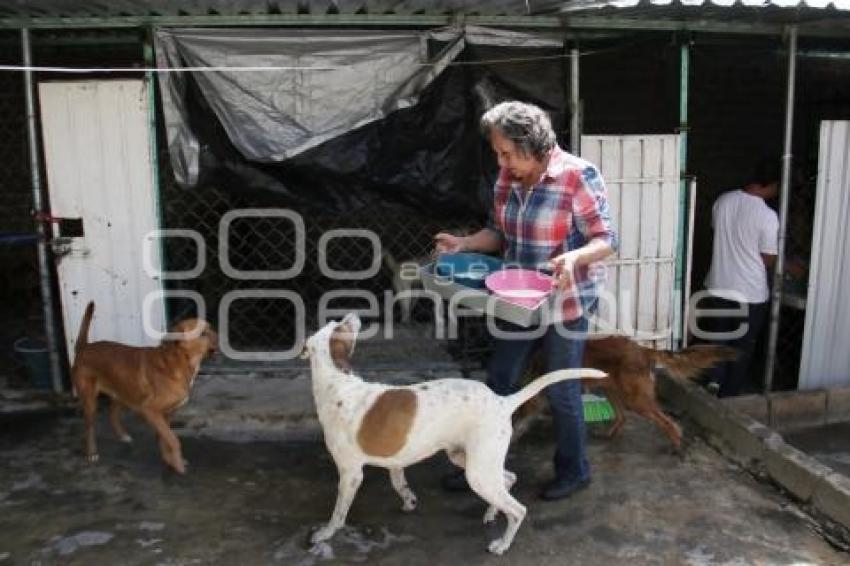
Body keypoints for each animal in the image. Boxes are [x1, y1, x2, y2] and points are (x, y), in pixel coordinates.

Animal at [71, 302, 217, 474]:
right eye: (202, 333)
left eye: (210, 328)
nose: (219, 337)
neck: (179, 361)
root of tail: (84, 347)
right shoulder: (150, 410)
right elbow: (173, 439)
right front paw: (178, 465)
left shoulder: (166, 414)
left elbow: (164, 439)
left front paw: (169, 460)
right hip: (90, 401)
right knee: (89, 426)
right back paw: (92, 452)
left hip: (124, 392)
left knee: (112, 413)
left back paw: (122, 435)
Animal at [300, 312, 604, 556]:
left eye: (339, 325)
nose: (353, 314)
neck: (338, 382)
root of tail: (502, 401)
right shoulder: (395, 460)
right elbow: (399, 483)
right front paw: (409, 501)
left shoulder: (350, 474)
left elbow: (339, 513)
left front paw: (325, 534)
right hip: (470, 461)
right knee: (509, 479)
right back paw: (492, 512)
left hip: (478, 473)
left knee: (519, 510)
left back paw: (502, 544)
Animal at [510, 338, 736, 452]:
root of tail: (643, 349)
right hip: (611, 389)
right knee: (622, 416)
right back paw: (608, 434)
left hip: (636, 399)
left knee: (667, 422)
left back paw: (676, 445)